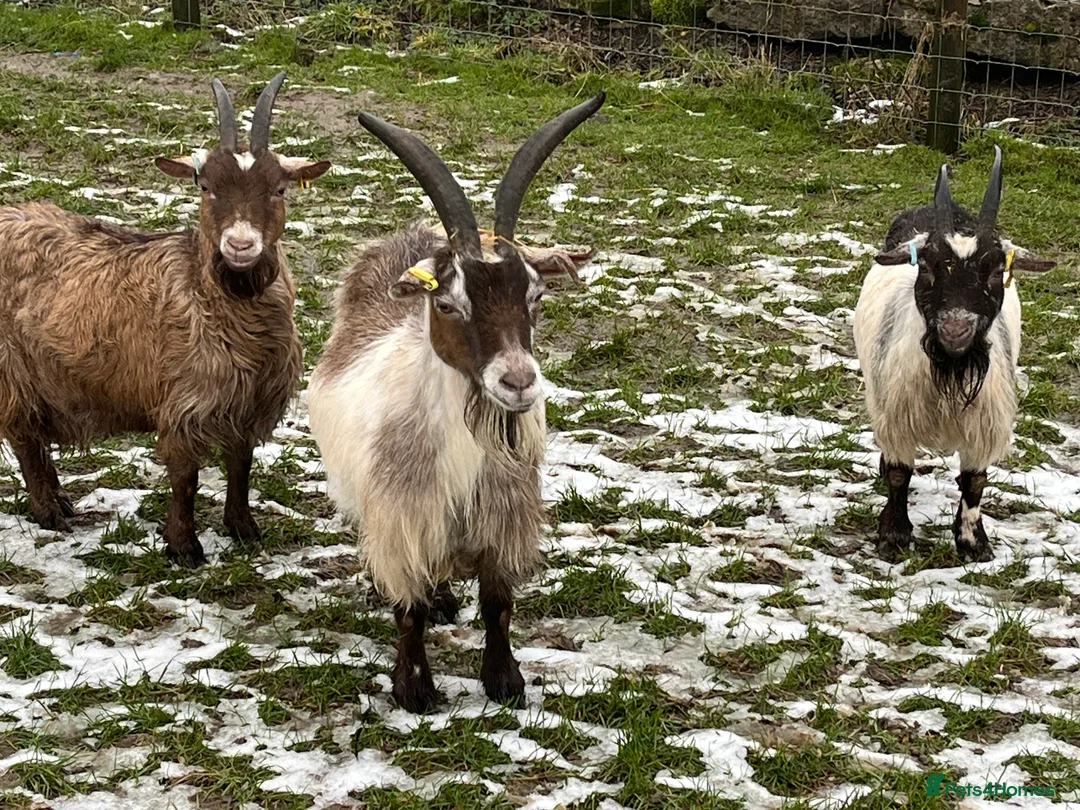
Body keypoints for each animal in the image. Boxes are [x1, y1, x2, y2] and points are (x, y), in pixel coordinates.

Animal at [0, 72, 330, 567]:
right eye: (205, 186)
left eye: (280, 188)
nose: (240, 244)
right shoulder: (185, 403)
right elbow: (185, 477)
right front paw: (183, 547)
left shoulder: (247, 403)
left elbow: (241, 463)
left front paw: (244, 529)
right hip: (14, 368)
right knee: (22, 435)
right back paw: (49, 512)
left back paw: (60, 501)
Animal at [307, 93, 604, 713]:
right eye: (447, 304)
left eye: (536, 295)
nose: (518, 382)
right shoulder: (401, 520)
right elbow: (408, 608)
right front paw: (414, 689)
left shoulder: (503, 520)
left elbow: (498, 603)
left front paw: (505, 681)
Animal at [853, 146, 1055, 563]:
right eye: (928, 266)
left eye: (994, 271)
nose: (955, 330)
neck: (950, 370)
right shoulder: (895, 417)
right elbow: (898, 472)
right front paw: (894, 536)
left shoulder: (985, 422)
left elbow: (975, 481)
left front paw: (973, 543)